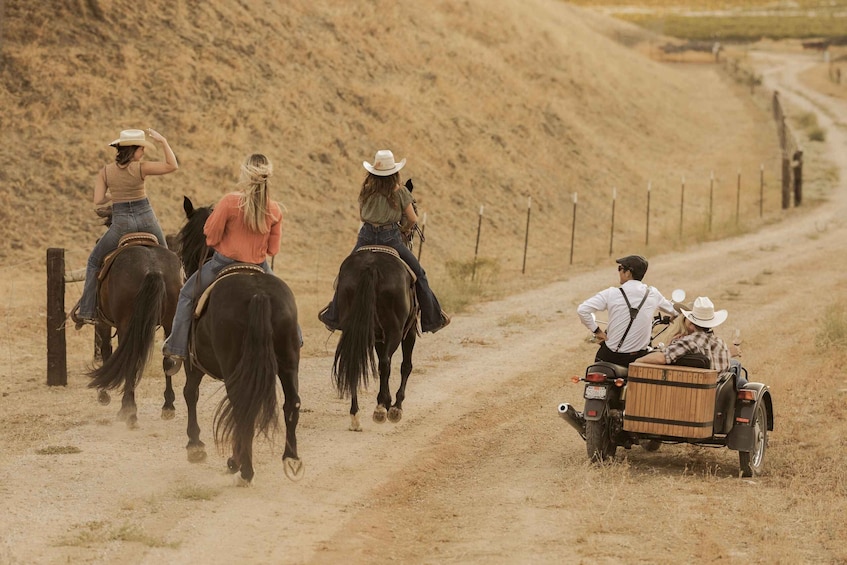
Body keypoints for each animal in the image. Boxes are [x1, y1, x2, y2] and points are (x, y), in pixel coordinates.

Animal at [174, 196, 304, 482]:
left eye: (184, 239)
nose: (184, 267)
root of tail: (259, 295)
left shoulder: (193, 363)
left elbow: (190, 393)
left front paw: (195, 445)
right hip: (288, 362)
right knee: (291, 404)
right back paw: (290, 459)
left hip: (234, 365)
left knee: (241, 406)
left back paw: (243, 466)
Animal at [332, 247, 418, 432]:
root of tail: (370, 266)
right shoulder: (410, 331)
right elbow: (405, 366)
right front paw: (395, 407)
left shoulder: (378, 338)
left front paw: (386, 401)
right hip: (395, 331)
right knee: (386, 364)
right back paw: (380, 410)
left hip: (355, 330)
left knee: (355, 364)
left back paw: (355, 416)